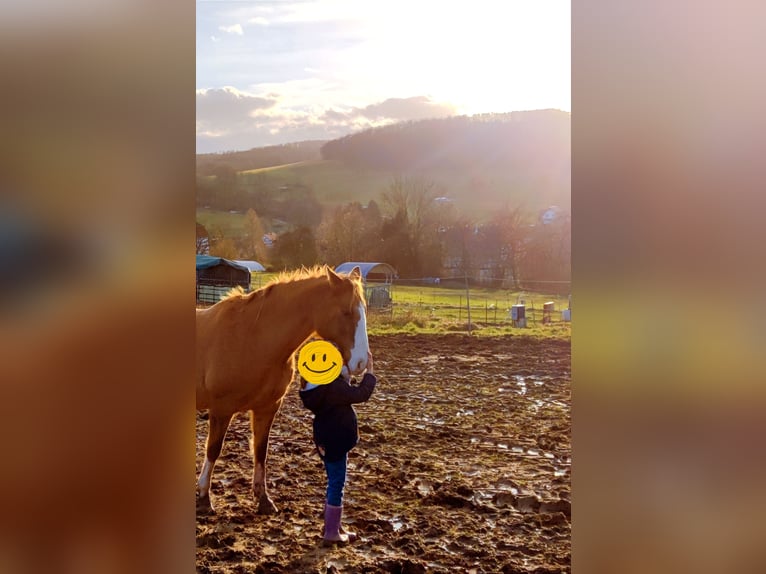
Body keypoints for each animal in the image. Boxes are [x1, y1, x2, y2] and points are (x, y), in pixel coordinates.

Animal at [195, 268, 368, 516]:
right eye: (346, 312)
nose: (362, 362)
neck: (252, 339)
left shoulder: (267, 409)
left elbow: (261, 450)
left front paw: (263, 499)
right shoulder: (221, 409)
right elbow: (213, 449)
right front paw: (203, 497)